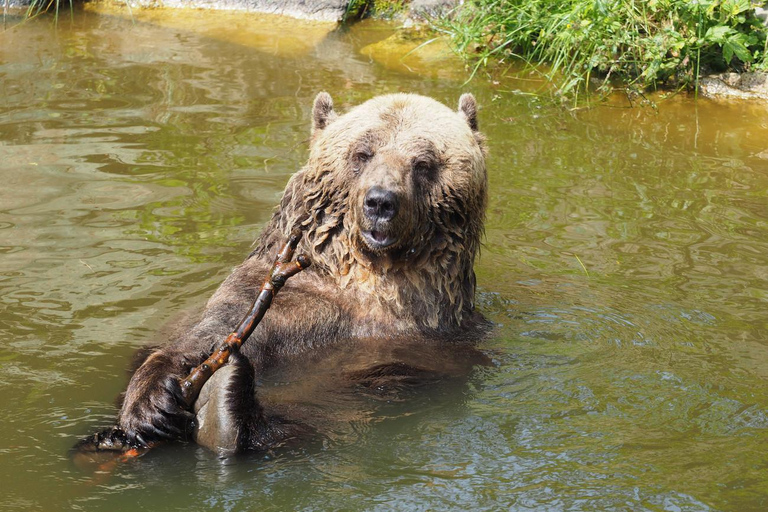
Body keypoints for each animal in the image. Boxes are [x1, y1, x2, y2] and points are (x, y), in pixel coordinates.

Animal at [95, 92, 489, 455]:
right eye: (362, 154)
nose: (380, 201)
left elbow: (402, 373)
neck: (369, 276)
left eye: (423, 162)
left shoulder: (434, 334)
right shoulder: (286, 293)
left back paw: (227, 407)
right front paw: (153, 400)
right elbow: (216, 329)